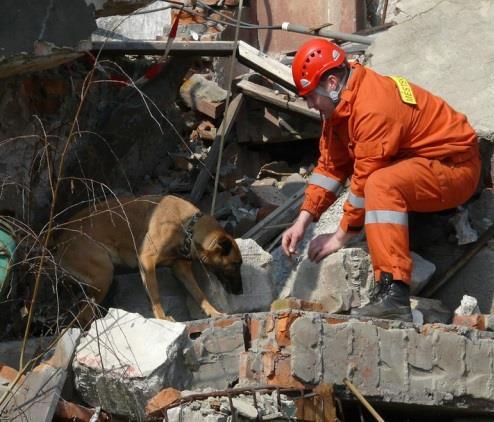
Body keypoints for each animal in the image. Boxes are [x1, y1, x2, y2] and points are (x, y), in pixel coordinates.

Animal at [54, 195, 243, 324]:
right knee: (84, 316)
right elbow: (155, 294)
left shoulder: (181, 269)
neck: (187, 226)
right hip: (104, 275)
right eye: (235, 264)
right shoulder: (146, 260)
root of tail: (59, 241)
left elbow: (199, 293)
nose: (241, 292)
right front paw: (162, 317)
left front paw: (213, 312)